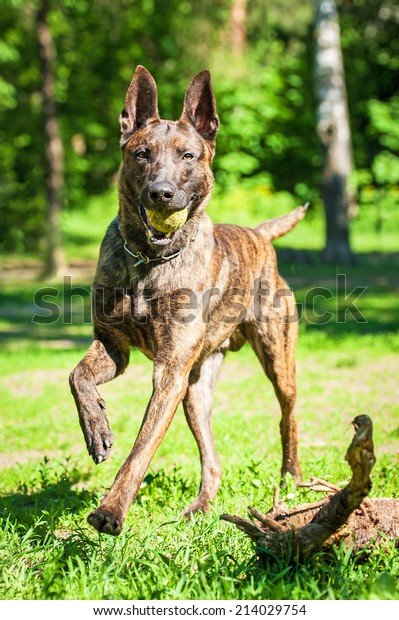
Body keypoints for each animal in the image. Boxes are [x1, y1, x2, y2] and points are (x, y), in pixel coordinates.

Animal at [71, 65, 310, 536]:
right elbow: (78, 377)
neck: (148, 261)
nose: (161, 193)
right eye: (142, 154)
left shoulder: (168, 375)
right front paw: (97, 429)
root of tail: (259, 235)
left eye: (187, 156)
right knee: (212, 460)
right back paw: (201, 506)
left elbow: (141, 449)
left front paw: (111, 511)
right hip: (195, 392)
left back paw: (290, 477)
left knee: (287, 416)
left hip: (277, 359)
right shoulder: (114, 347)